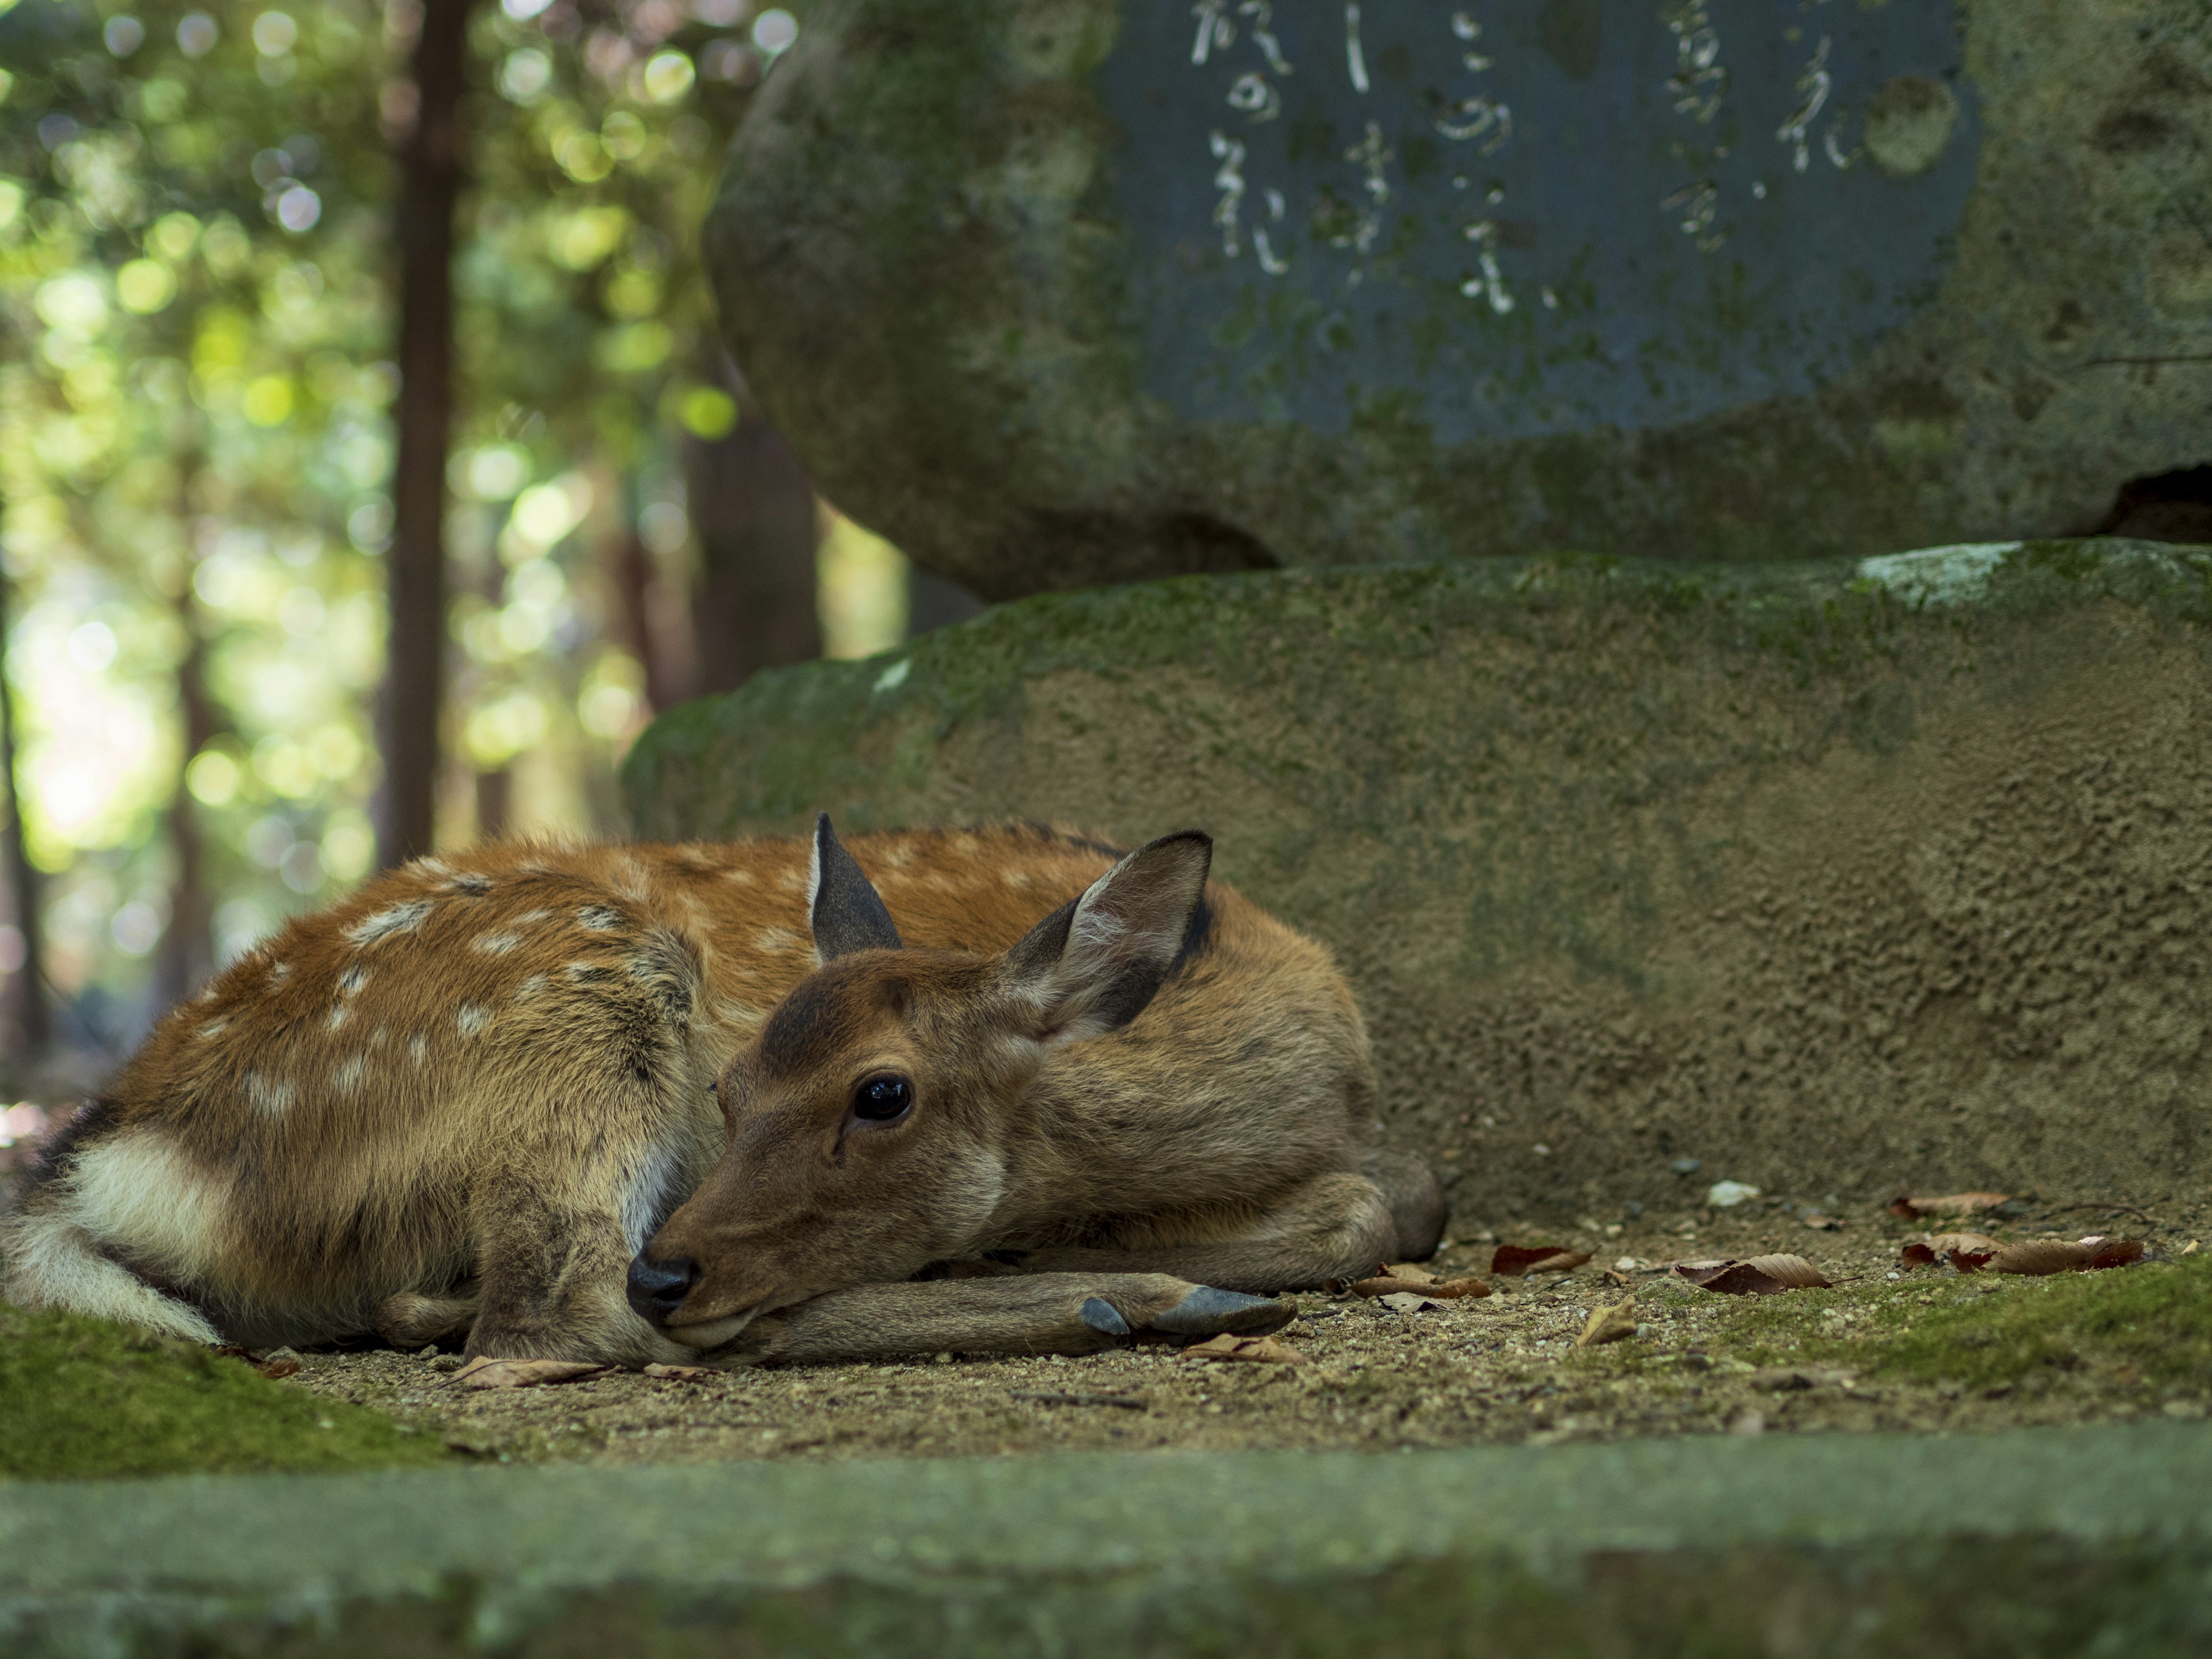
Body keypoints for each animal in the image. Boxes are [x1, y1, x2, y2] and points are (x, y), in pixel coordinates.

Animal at [0, 823, 1442, 1380]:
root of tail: (119, 1153)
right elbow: (1370, 1207)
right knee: (562, 1316)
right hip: (576, 1002)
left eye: (882, 1095)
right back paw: (1146, 1302)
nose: (679, 1267)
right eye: (732, 1085)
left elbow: (1406, 1192)